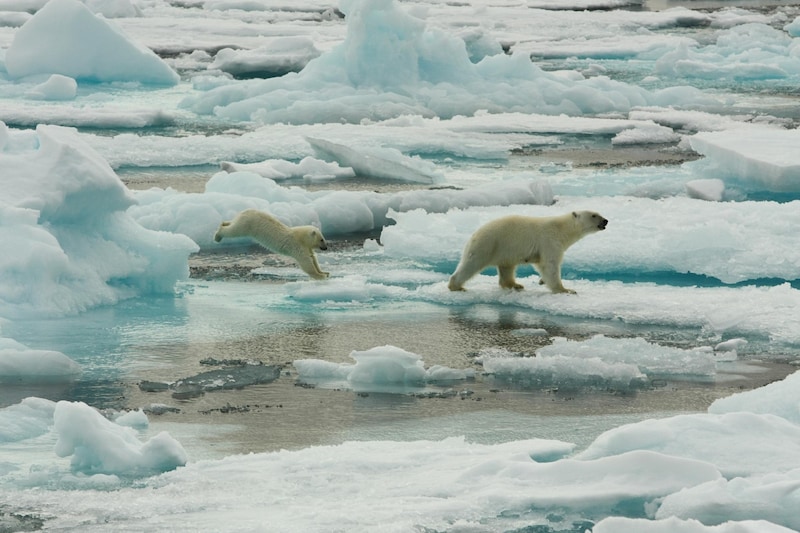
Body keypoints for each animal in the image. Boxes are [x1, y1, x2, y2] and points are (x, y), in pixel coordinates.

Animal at [450, 211, 608, 296]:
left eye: (598, 214)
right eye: (594, 215)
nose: (606, 220)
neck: (562, 229)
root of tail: (474, 234)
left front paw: (542, 281)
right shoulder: (549, 240)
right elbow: (549, 264)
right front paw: (565, 290)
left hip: (504, 250)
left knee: (507, 267)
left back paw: (515, 285)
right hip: (488, 244)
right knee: (471, 265)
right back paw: (456, 286)